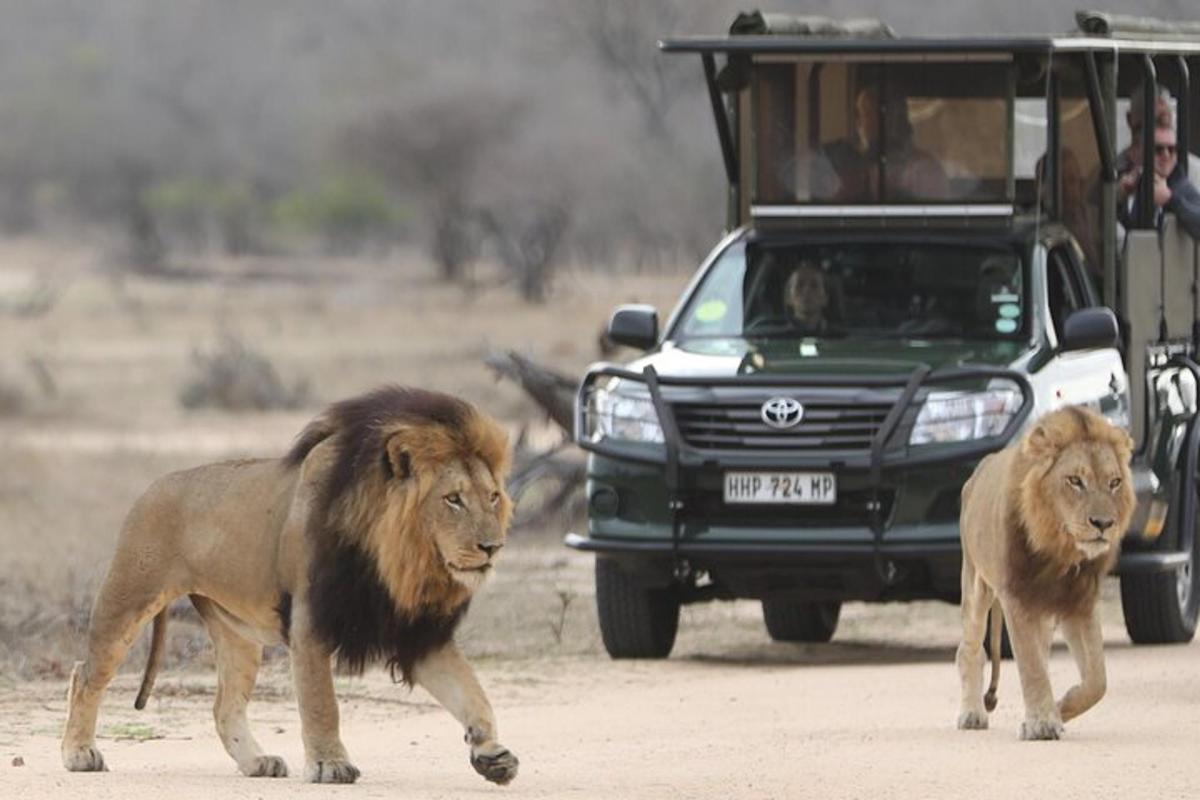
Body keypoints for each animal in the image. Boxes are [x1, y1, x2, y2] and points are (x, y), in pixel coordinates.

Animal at [62, 383, 520, 786]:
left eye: (493, 497)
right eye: (453, 499)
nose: (493, 547)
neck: (398, 559)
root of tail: (154, 485)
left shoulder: (417, 633)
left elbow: (473, 694)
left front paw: (491, 754)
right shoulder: (310, 621)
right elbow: (322, 703)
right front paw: (330, 765)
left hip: (237, 633)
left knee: (224, 705)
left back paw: (256, 762)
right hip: (128, 597)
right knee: (86, 674)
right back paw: (79, 753)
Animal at [955, 410, 1132, 743]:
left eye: (1114, 482)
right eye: (1075, 481)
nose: (1104, 523)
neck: (1059, 549)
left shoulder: (1080, 603)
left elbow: (1097, 681)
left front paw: (1060, 708)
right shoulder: (1016, 598)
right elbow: (1032, 666)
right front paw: (1041, 724)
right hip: (976, 583)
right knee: (970, 650)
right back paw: (971, 714)